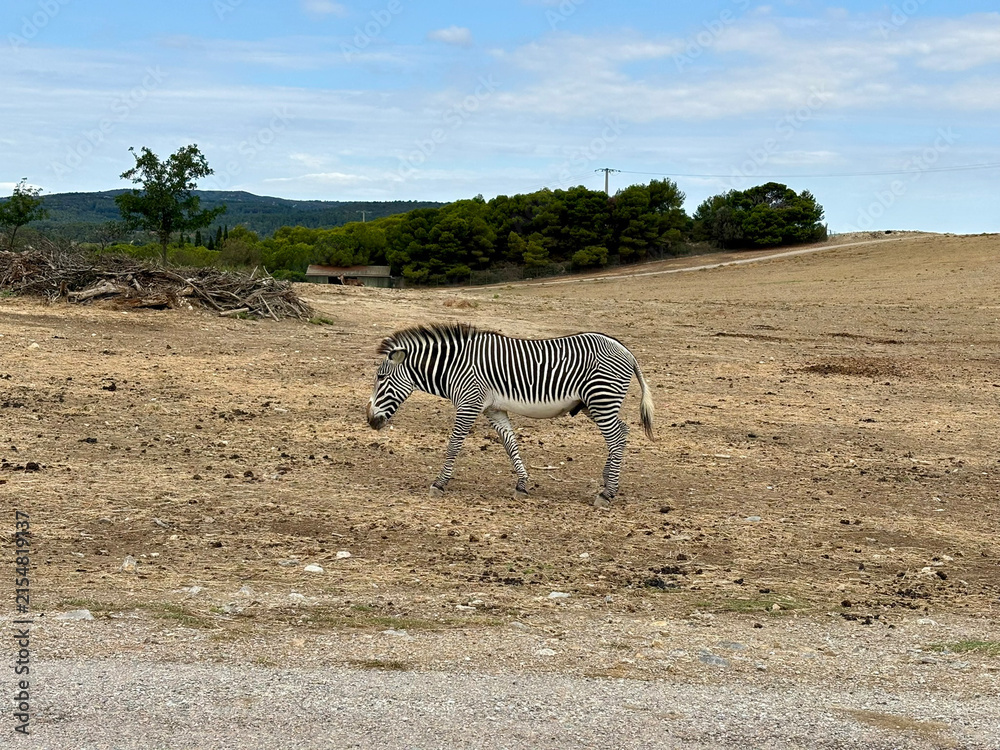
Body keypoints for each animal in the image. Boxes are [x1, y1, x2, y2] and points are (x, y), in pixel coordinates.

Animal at [365, 323, 654, 507]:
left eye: (380, 378)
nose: (369, 420)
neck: (454, 366)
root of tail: (626, 351)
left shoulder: (469, 403)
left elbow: (454, 444)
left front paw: (439, 483)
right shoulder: (494, 409)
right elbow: (510, 443)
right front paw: (522, 485)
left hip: (601, 399)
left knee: (617, 437)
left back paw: (607, 493)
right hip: (593, 404)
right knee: (622, 432)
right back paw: (608, 482)